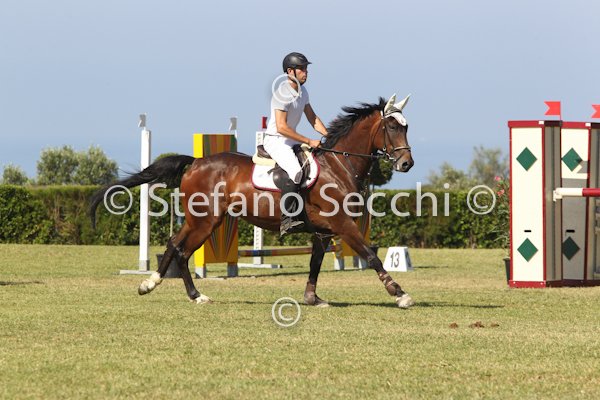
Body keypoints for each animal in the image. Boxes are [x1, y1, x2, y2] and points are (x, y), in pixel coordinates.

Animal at [90, 94, 415, 308]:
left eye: (406, 126)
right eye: (392, 126)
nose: (407, 164)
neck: (339, 165)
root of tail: (196, 162)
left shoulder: (324, 230)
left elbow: (315, 263)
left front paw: (312, 298)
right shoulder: (342, 223)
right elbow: (370, 255)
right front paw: (399, 293)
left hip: (202, 219)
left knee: (173, 243)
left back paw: (150, 284)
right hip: (206, 221)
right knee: (182, 251)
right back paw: (196, 296)